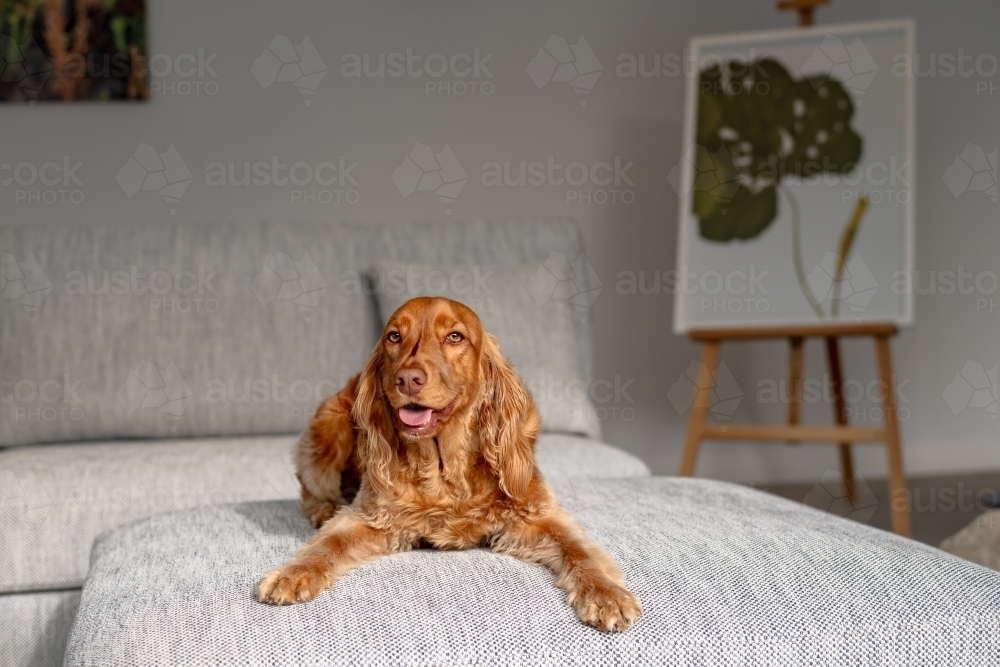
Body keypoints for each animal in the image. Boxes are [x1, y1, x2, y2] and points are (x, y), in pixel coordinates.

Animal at [254, 296, 636, 632]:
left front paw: (607, 595)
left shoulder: (540, 514)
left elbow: (579, 552)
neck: (443, 469)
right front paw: (292, 573)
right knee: (309, 487)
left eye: (455, 336)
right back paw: (323, 509)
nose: (408, 378)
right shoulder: (370, 515)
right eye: (394, 336)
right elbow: (328, 544)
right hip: (327, 430)